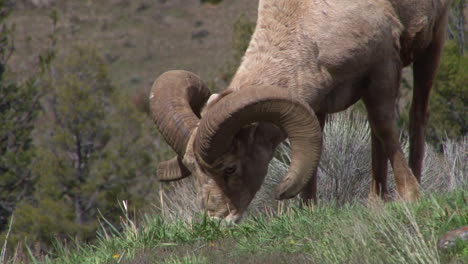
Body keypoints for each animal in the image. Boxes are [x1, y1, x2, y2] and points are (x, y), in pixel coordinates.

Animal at [149, 0, 450, 223]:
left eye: (230, 167)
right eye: (192, 169)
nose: (217, 219)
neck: (311, 28)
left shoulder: (383, 69)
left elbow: (386, 128)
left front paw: (411, 196)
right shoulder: (317, 106)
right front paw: (307, 208)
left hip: (432, 45)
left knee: (416, 116)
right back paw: (376, 200)